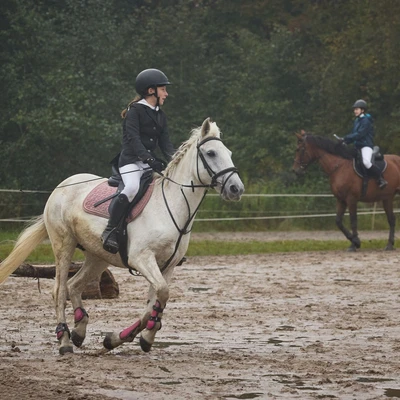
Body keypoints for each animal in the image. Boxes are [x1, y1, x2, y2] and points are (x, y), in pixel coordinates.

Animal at [0, 117, 244, 354]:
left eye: (229, 153)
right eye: (211, 153)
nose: (236, 189)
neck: (171, 207)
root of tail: (61, 187)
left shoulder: (167, 265)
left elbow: (155, 302)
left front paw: (128, 338)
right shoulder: (142, 258)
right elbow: (161, 294)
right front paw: (135, 336)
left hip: (97, 256)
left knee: (74, 285)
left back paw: (79, 330)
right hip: (64, 245)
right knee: (59, 290)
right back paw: (65, 341)